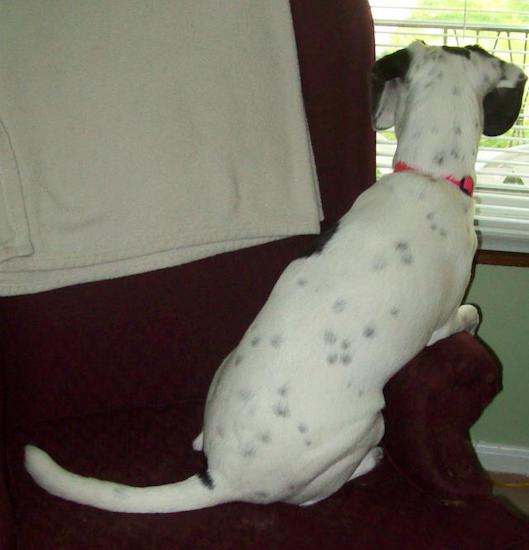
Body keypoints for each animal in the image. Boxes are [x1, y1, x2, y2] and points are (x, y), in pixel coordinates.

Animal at [23, 42, 524, 512]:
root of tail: (221, 477)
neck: (427, 175)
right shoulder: (441, 320)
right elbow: (467, 314)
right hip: (368, 422)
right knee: (313, 495)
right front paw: (471, 322)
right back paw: (368, 461)